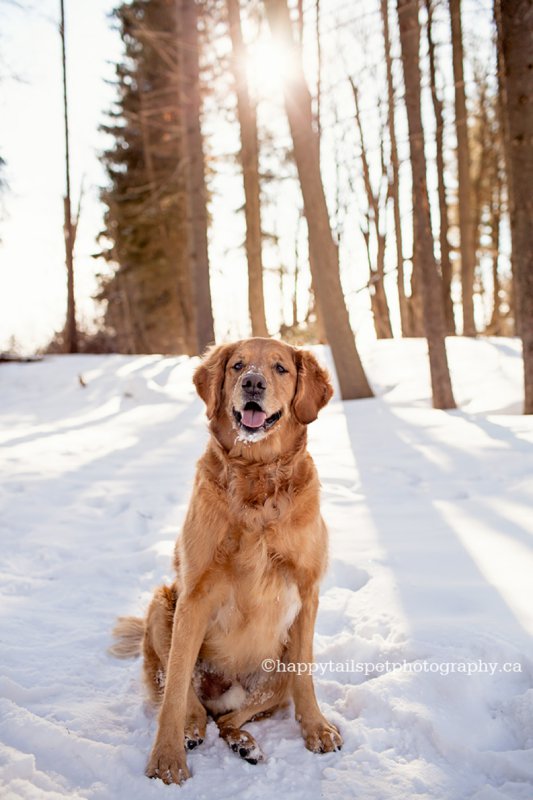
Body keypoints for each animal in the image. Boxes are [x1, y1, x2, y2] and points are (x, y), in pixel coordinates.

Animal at [111, 336, 342, 780]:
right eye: (237, 365)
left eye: (280, 368)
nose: (252, 383)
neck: (257, 474)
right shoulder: (194, 595)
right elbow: (176, 690)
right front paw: (166, 760)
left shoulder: (307, 591)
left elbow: (305, 676)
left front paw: (317, 729)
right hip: (162, 607)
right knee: (195, 705)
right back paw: (191, 731)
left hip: (275, 671)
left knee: (232, 718)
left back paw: (243, 743)